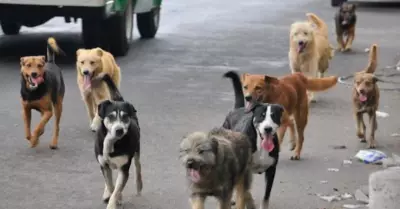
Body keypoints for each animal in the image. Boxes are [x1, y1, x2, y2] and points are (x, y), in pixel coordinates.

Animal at [223, 71, 286, 208]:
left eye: (273, 116)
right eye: (261, 116)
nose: (268, 129)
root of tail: (237, 109)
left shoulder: (271, 170)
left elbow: (266, 196)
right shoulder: (244, 170)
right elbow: (243, 193)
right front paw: (246, 202)